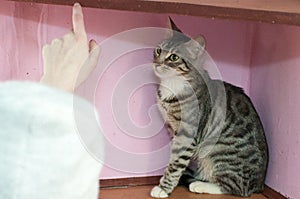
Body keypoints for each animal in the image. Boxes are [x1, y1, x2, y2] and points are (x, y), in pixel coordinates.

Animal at [151, 18, 268, 197]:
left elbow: (176, 164)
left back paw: (200, 185)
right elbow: (174, 158)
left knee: (235, 188)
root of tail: (259, 185)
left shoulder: (187, 134)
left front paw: (164, 188)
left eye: (173, 57)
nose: (157, 63)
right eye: (158, 50)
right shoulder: (173, 129)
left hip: (218, 152)